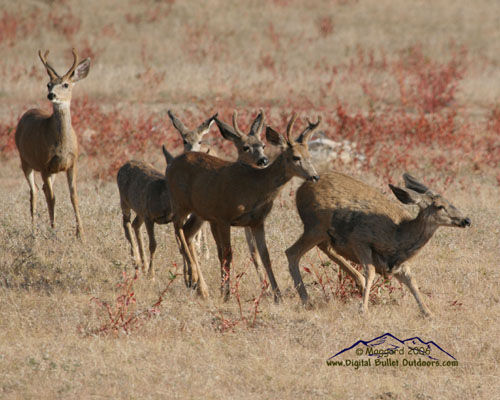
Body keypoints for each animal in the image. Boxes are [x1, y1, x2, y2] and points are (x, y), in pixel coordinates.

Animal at [14, 48, 91, 239]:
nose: (51, 95)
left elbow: (73, 196)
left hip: (51, 171)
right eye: (48, 84)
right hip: (25, 160)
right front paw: (54, 231)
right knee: (34, 192)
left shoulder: (72, 163)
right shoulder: (44, 164)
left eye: (66, 84)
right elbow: (52, 198)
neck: (61, 146)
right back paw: (34, 231)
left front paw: (81, 234)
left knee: (41, 189)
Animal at [164, 111, 320, 302]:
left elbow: (265, 256)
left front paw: (277, 295)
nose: (314, 176)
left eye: (309, 156)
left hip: (199, 211)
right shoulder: (223, 216)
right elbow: (227, 255)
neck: (255, 186)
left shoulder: (257, 221)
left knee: (187, 232)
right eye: (295, 157)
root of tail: (172, 163)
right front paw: (226, 293)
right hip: (179, 202)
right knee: (177, 228)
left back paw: (201, 288)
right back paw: (194, 277)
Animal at [288, 171, 470, 316]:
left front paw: (428, 312)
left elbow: (412, 281)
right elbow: (371, 271)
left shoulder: (398, 265)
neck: (397, 237)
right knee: (292, 252)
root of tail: (301, 189)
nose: (467, 220)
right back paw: (306, 299)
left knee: (324, 248)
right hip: (315, 225)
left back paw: (358, 282)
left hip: (322, 232)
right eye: (440, 206)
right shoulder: (360, 239)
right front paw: (363, 309)